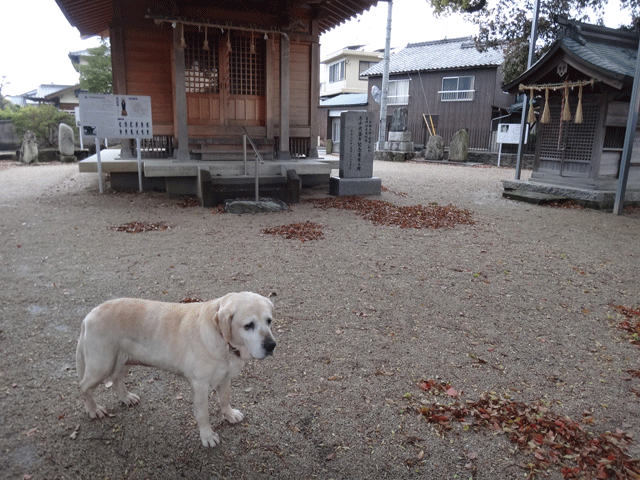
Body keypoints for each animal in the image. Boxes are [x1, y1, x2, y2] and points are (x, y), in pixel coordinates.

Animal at [75, 292, 276, 446]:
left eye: (269, 321)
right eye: (248, 325)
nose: (271, 345)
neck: (224, 343)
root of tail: (90, 314)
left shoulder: (225, 378)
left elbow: (225, 399)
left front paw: (229, 414)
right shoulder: (200, 386)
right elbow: (203, 415)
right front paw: (207, 436)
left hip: (125, 359)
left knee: (116, 380)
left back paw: (126, 398)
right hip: (101, 364)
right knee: (83, 386)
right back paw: (93, 410)